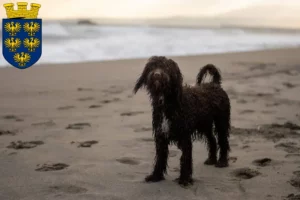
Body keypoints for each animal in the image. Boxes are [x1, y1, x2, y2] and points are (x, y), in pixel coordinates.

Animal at [133, 55, 230, 186]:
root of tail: (215, 84)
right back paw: (211, 159)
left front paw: (184, 179)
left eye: (166, 67)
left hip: (221, 121)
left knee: (223, 140)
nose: (157, 74)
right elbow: (160, 158)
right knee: (212, 140)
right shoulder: (161, 135)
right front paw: (156, 176)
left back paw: (222, 162)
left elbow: (185, 158)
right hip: (205, 125)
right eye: (152, 66)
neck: (168, 102)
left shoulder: (184, 136)